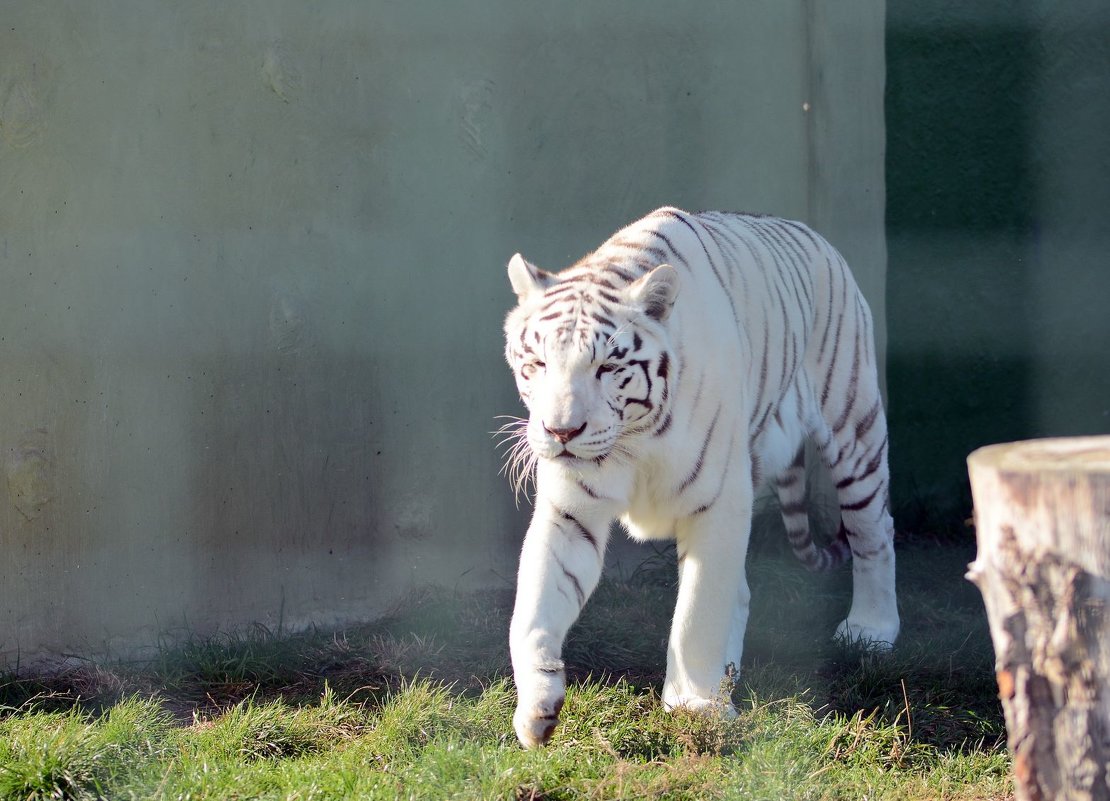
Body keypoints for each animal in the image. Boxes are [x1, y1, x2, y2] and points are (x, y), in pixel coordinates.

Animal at [499, 207, 896, 749]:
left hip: (853, 425)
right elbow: (534, 608)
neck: (633, 439)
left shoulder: (719, 501)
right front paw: (537, 705)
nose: (561, 431)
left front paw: (695, 706)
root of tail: (814, 236)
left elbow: (697, 611)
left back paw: (871, 629)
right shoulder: (570, 510)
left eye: (607, 367)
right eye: (537, 363)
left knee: (874, 531)